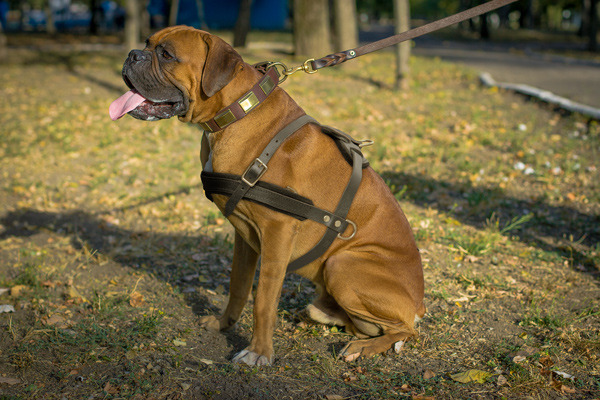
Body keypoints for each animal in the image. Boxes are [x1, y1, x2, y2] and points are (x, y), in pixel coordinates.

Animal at [110, 26, 424, 368]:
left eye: (166, 55)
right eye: (146, 43)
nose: (132, 55)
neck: (236, 114)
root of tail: (419, 304)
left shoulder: (277, 233)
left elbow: (263, 299)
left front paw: (258, 352)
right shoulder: (244, 236)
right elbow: (238, 285)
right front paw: (224, 324)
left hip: (342, 263)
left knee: (404, 330)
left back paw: (362, 347)